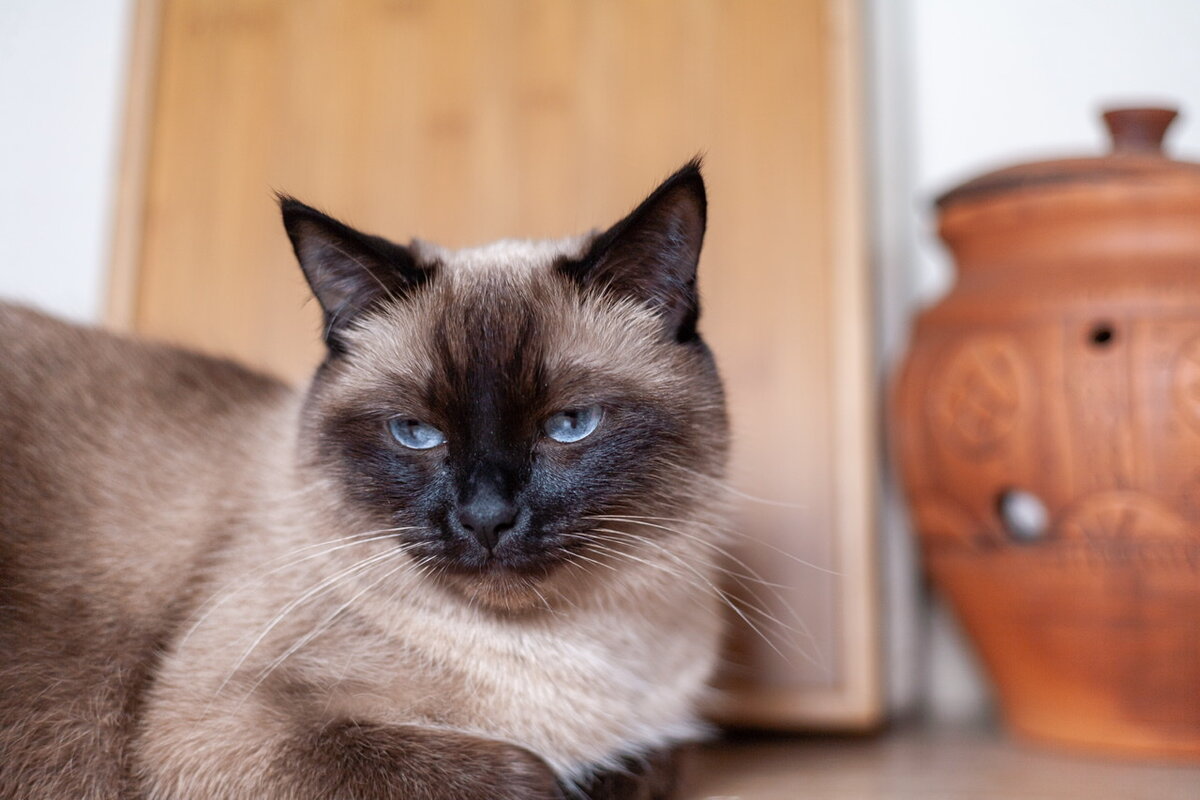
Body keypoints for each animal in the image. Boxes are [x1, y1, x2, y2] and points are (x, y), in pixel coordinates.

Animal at [0, 159, 729, 796]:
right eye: (415, 434)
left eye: (570, 424)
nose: (486, 517)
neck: (576, 659)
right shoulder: (213, 730)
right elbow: (527, 772)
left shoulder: (659, 743)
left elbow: (648, 765)